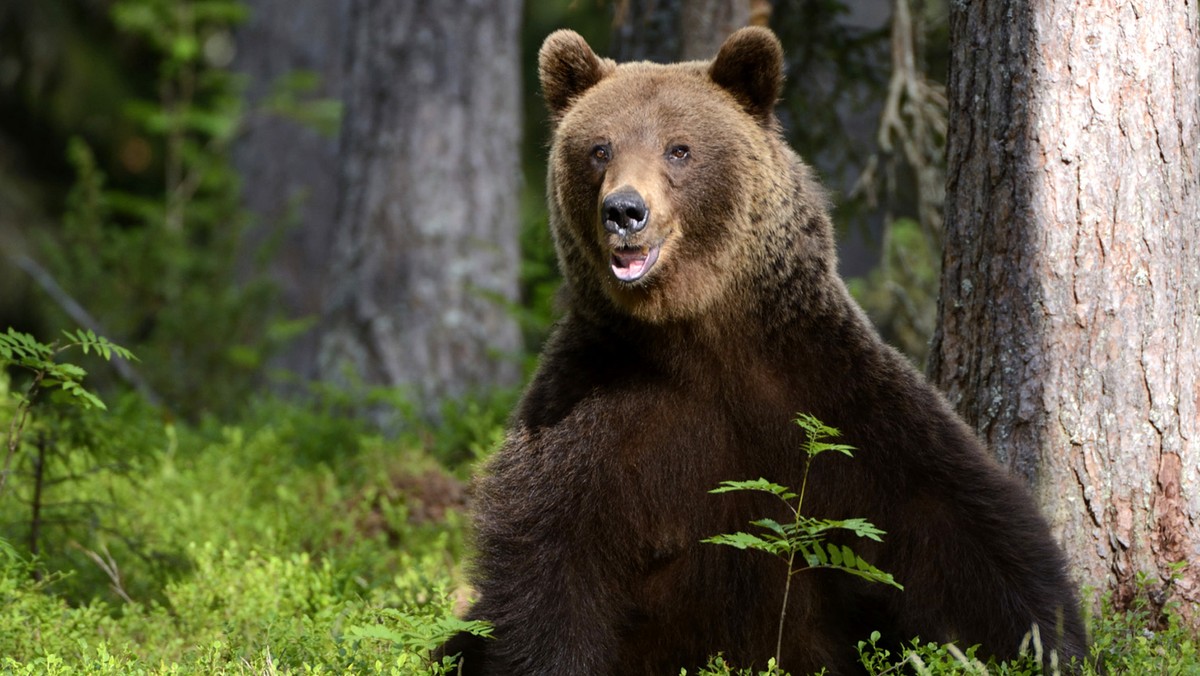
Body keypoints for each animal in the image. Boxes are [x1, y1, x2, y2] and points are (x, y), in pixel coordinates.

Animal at [441, 26, 1089, 676]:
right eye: (599, 148)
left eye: (679, 149)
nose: (624, 210)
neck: (697, 333)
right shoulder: (598, 404)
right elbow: (548, 557)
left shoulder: (826, 390)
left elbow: (959, 520)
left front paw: (1050, 639)